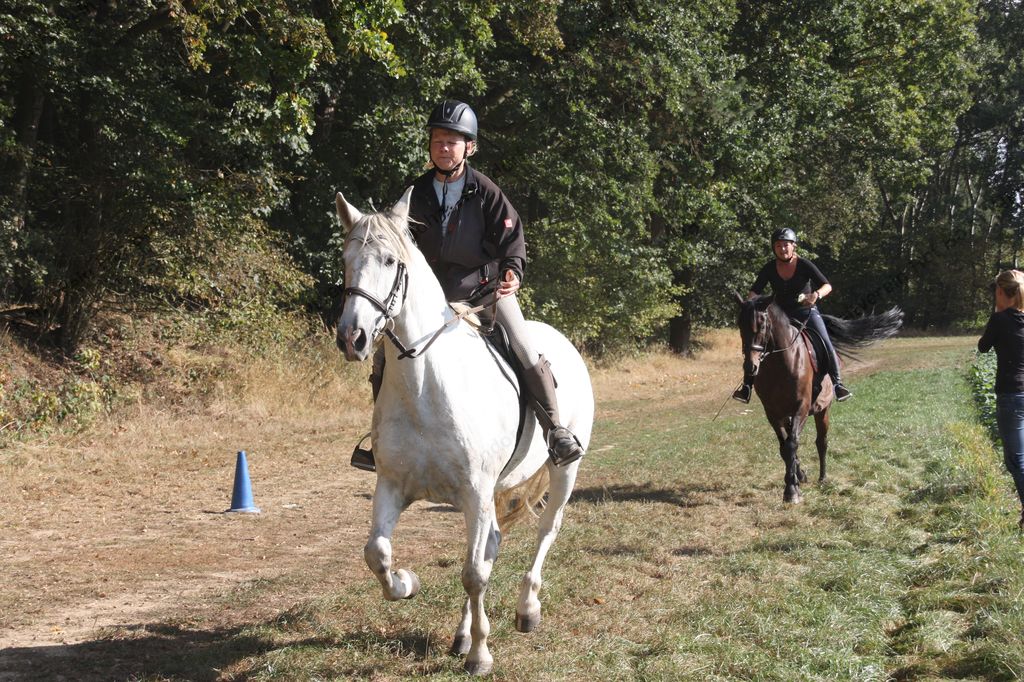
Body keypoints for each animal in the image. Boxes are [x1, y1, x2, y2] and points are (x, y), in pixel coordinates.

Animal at [334, 188, 595, 676]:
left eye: (390, 261)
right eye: (346, 259)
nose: (352, 337)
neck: (425, 387)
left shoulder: (475, 492)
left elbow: (474, 574)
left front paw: (480, 655)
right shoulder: (392, 486)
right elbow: (377, 553)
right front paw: (407, 582)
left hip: (562, 471)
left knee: (545, 529)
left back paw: (526, 610)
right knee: (490, 545)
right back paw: (461, 633)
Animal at [734, 293, 903, 504]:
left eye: (762, 324)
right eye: (740, 325)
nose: (750, 367)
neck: (780, 364)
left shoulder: (802, 407)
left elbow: (792, 444)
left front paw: (791, 491)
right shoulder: (773, 412)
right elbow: (785, 447)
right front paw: (796, 479)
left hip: (823, 411)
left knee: (821, 442)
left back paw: (822, 478)